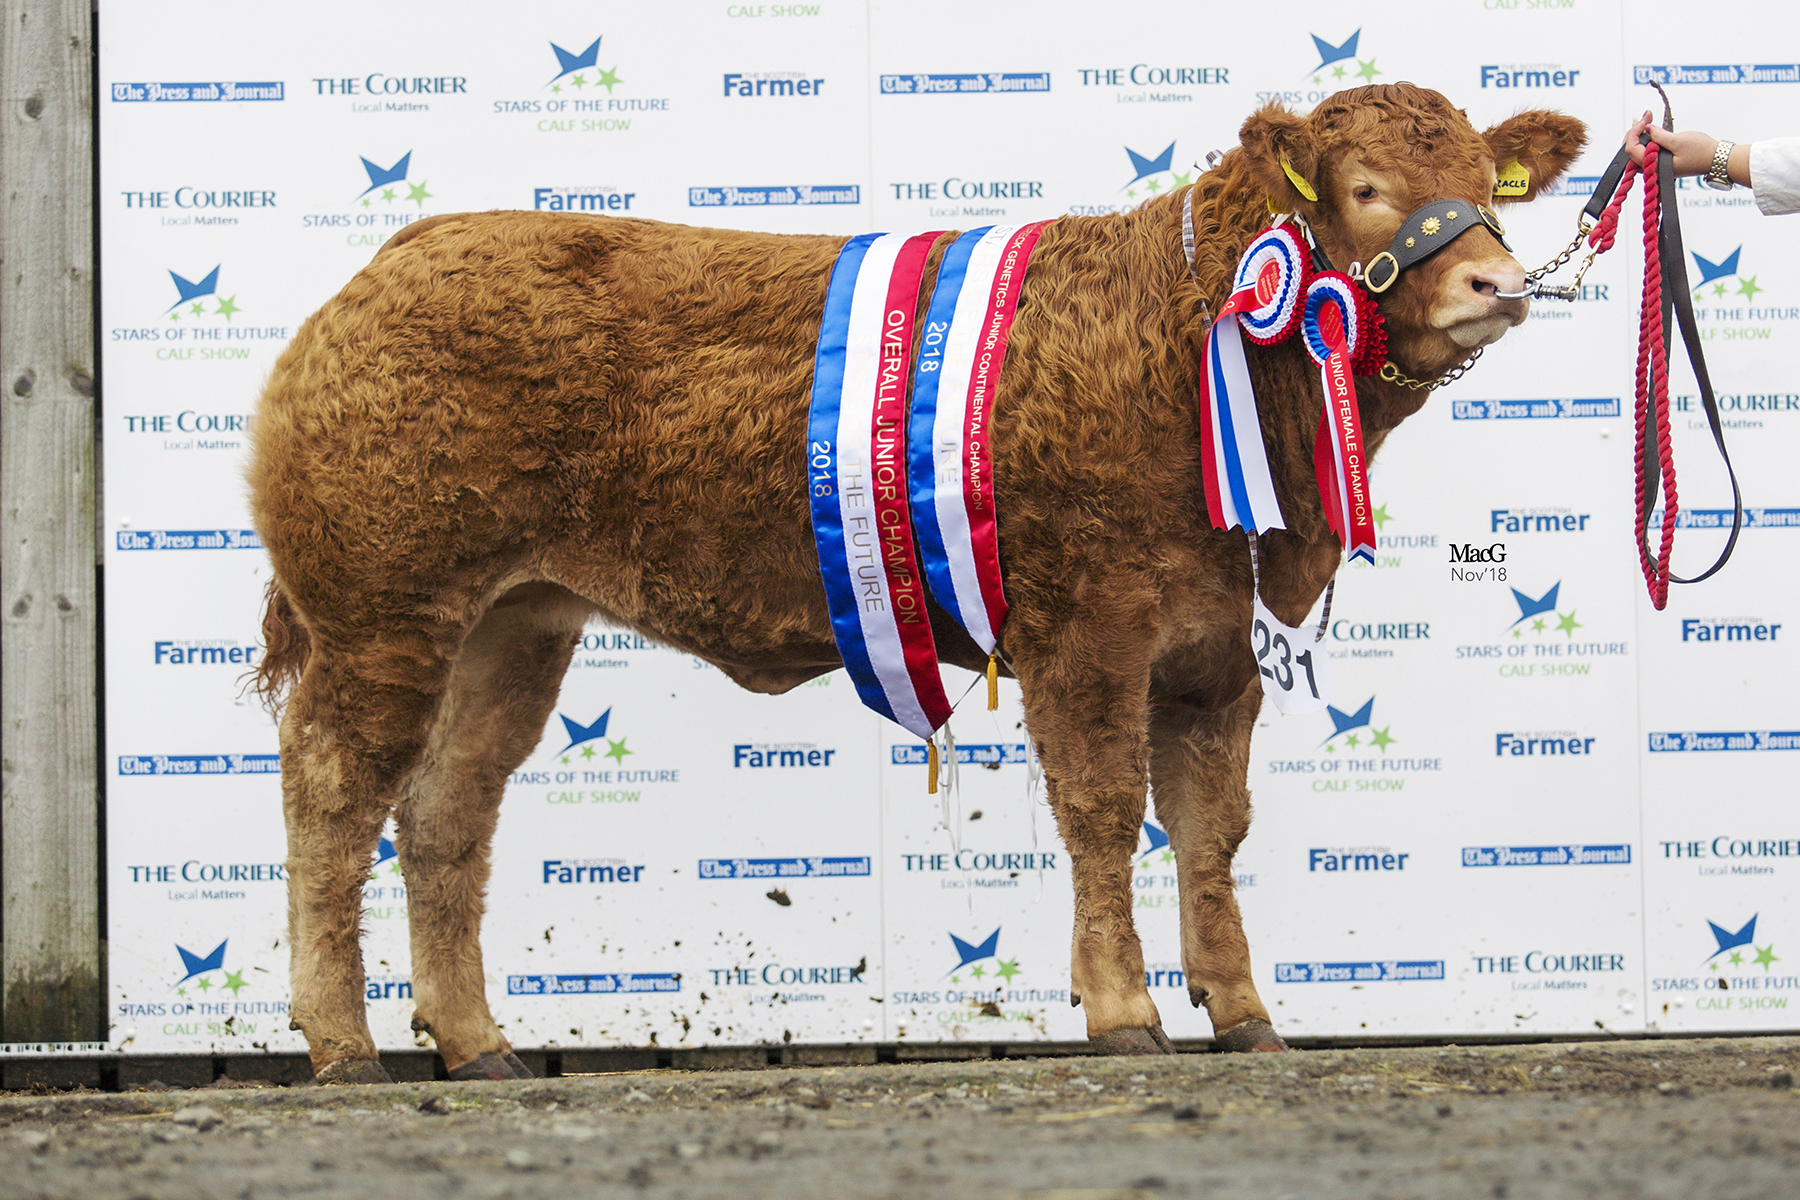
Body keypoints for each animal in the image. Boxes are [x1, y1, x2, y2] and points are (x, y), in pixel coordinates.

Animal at [248, 83, 1584, 1082]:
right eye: (1365, 189)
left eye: (1487, 180)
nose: (1496, 283)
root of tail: (413, 251)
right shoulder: (1087, 627)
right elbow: (1104, 811)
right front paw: (1124, 1012)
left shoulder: (1217, 649)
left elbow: (1212, 828)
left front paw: (1246, 1012)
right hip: (382, 610)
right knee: (333, 789)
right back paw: (342, 1043)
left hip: (513, 621)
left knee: (447, 808)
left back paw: (476, 1042)